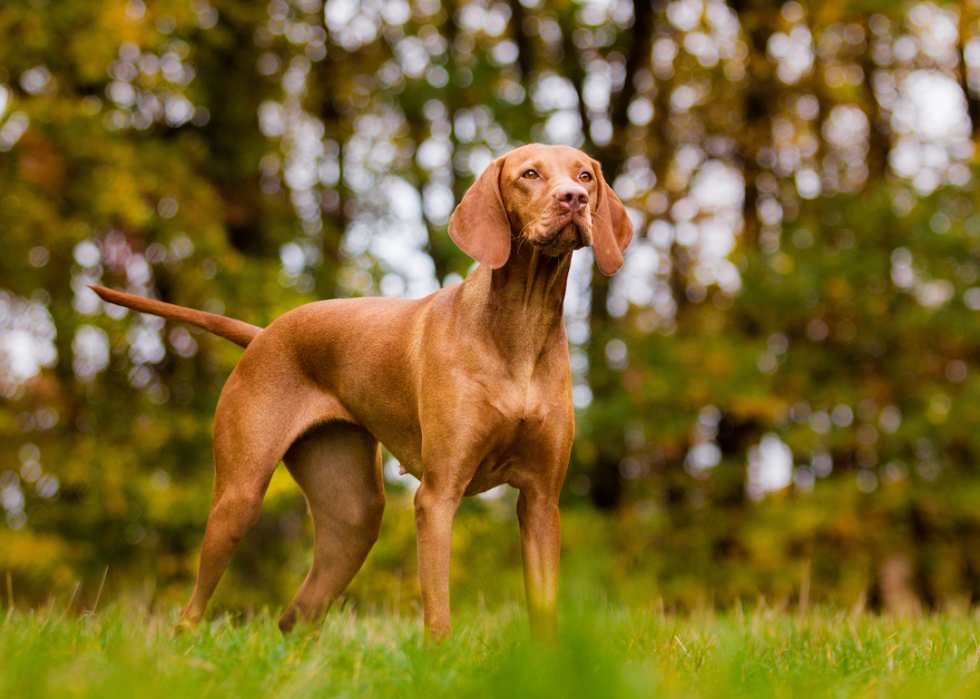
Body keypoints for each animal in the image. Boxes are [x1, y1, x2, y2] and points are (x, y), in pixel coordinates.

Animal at [94, 142, 636, 640]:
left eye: (585, 175)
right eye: (529, 174)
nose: (574, 199)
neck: (521, 327)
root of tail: (264, 333)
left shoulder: (542, 501)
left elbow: (544, 610)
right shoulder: (437, 496)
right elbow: (438, 613)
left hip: (353, 516)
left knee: (294, 615)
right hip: (239, 496)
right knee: (193, 608)